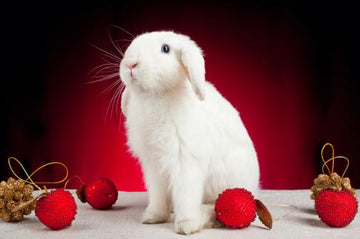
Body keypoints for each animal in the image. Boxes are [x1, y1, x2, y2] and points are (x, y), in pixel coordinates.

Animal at [119, 30, 260, 234]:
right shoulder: (154, 166)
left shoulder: (186, 161)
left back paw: (204, 218)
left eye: (165, 49)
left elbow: (186, 195)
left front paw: (187, 225)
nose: (131, 64)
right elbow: (158, 195)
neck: (156, 96)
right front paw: (153, 217)